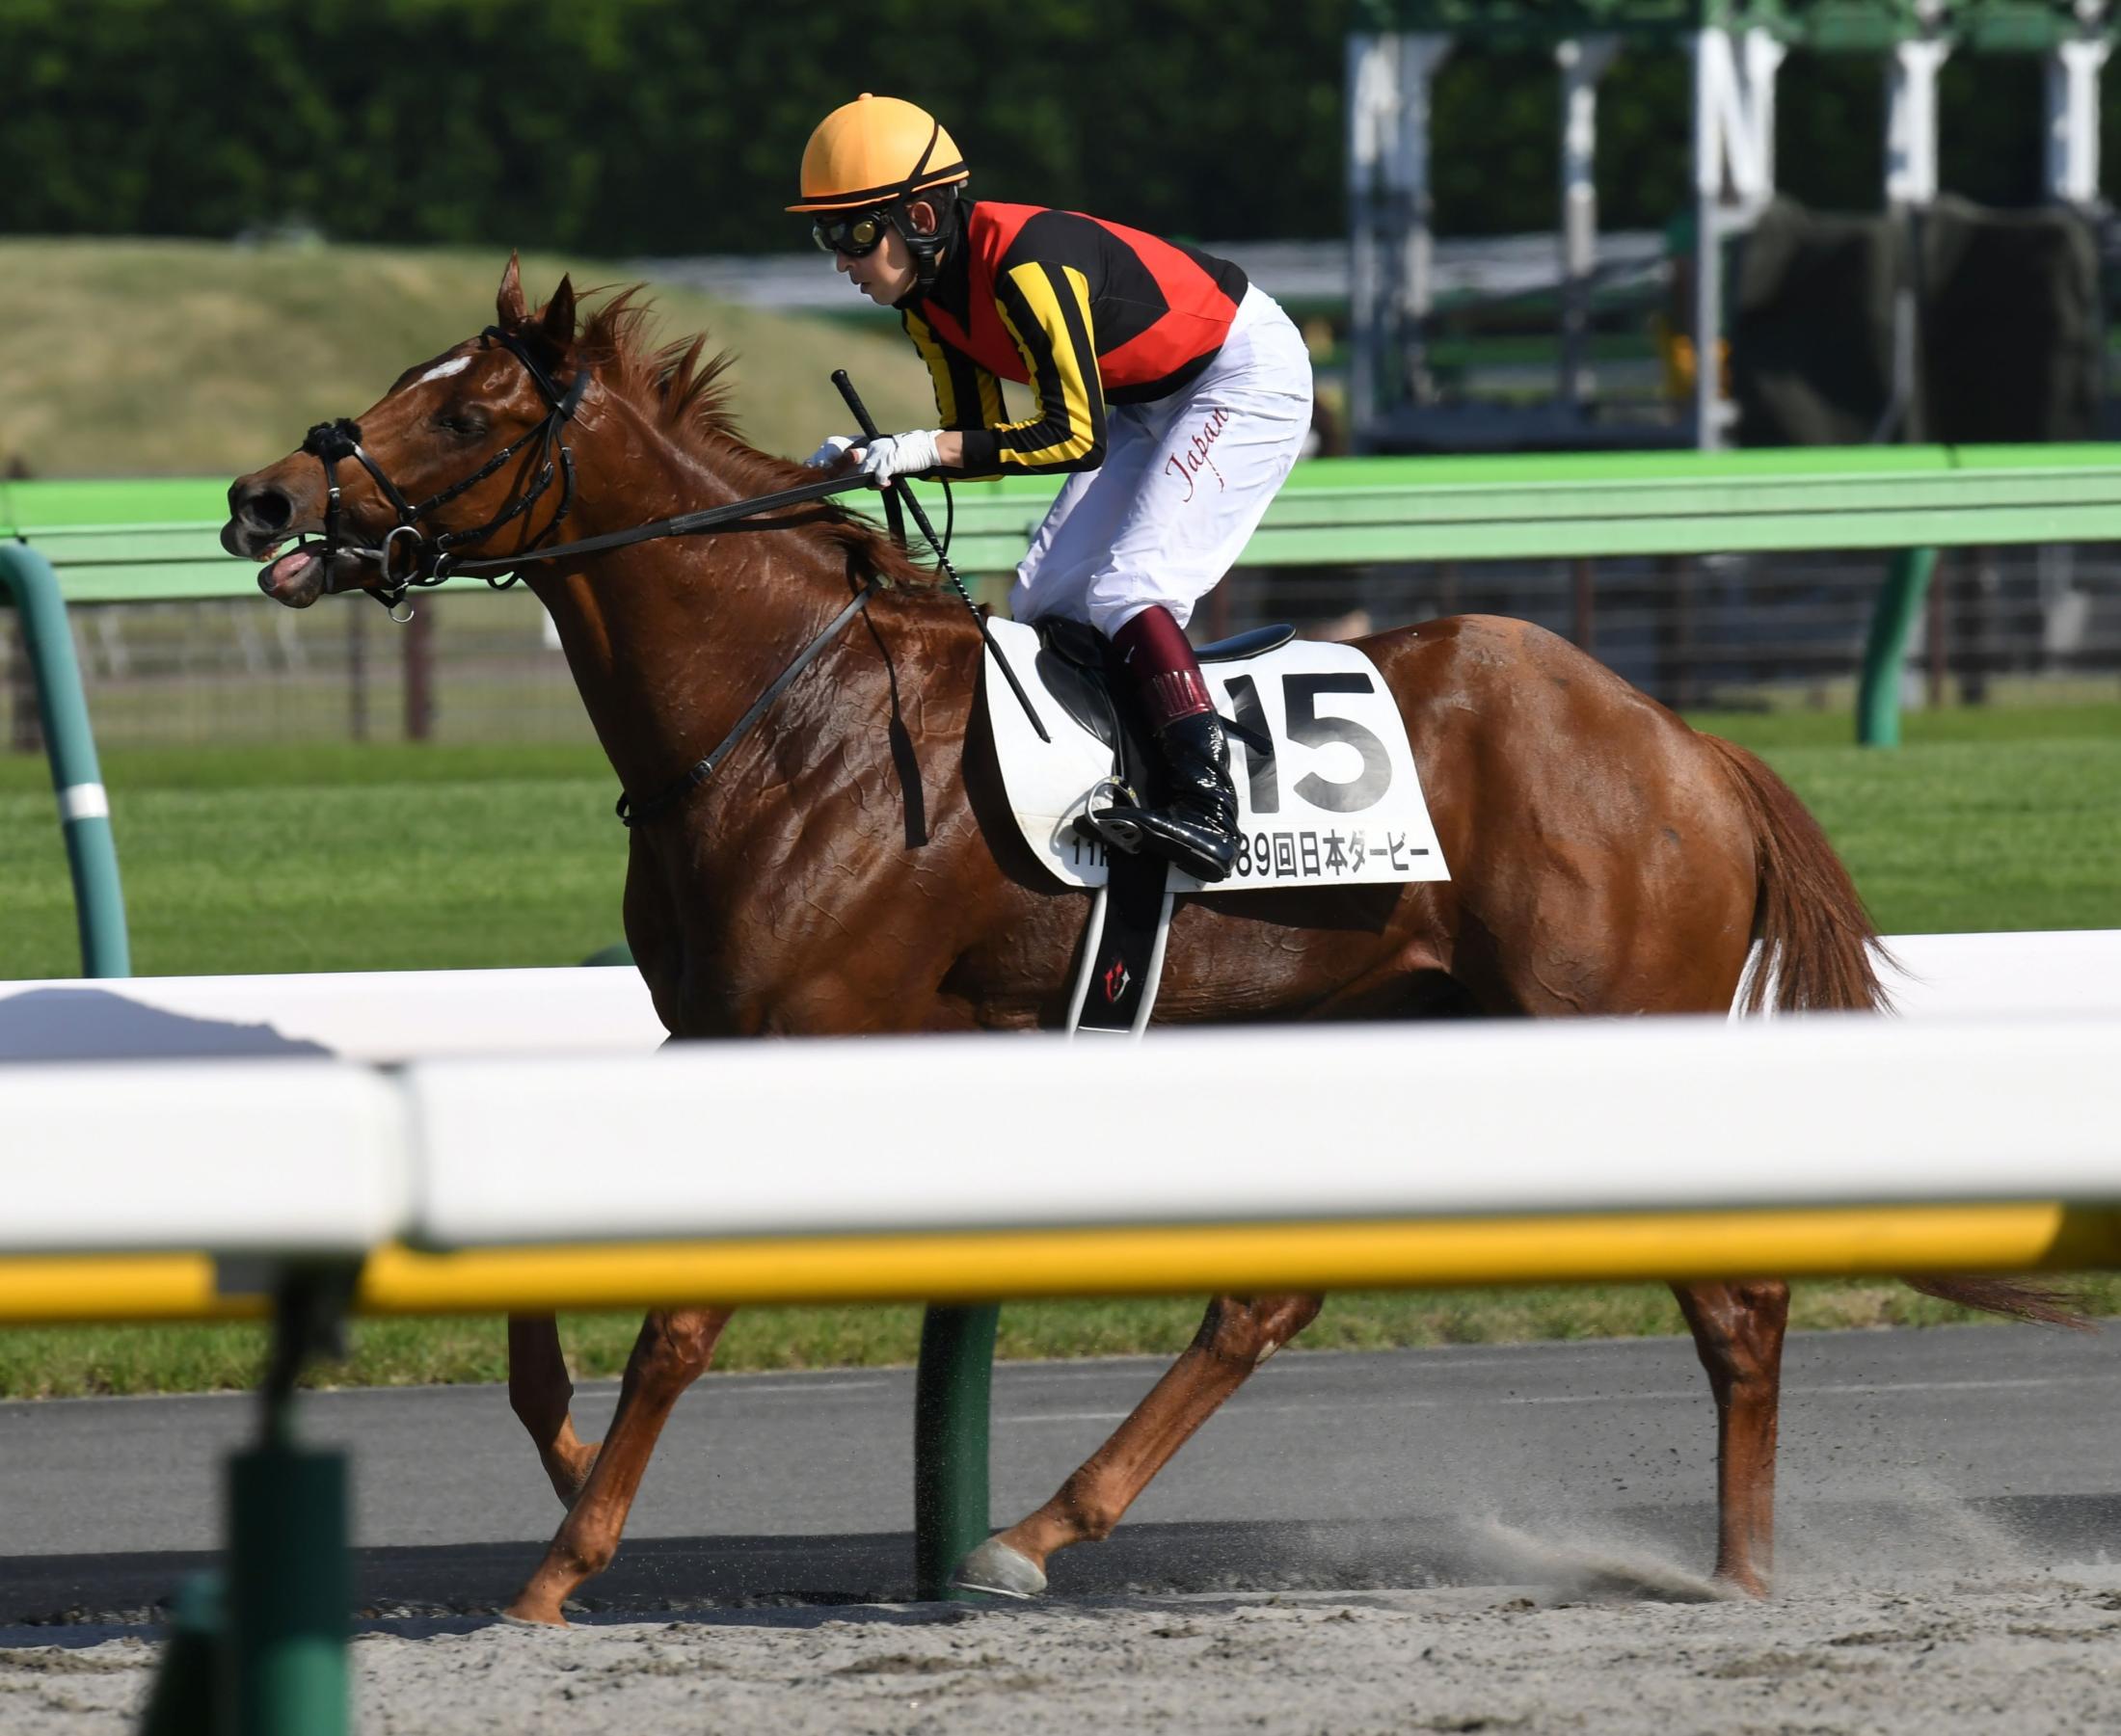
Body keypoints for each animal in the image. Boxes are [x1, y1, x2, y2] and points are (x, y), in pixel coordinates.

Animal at [224, 261, 2061, 1627]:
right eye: (404, 377)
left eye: (466, 409)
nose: (260, 494)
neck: (782, 711)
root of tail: (1681, 744)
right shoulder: (708, 1029)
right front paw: (556, 1456)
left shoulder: (806, 1033)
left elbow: (683, 1317)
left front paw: (559, 1565)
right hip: (1394, 1021)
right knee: (1267, 1302)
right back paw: (1037, 1529)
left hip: (1607, 1025)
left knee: (1739, 1299)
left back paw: (1743, 1572)